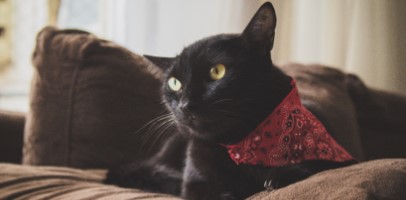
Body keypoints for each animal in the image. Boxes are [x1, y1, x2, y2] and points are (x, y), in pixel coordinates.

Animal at [105, 1, 356, 200]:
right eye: (175, 83)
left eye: (217, 71)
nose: (185, 104)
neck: (243, 143)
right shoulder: (194, 183)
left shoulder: (343, 156)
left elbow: (318, 164)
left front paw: (280, 175)